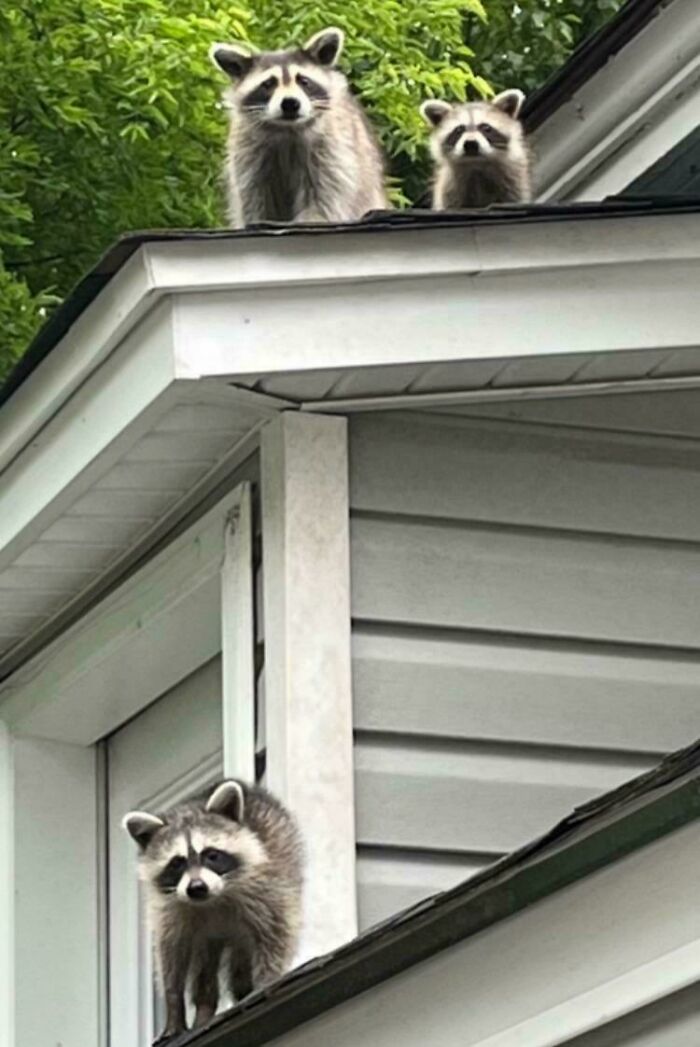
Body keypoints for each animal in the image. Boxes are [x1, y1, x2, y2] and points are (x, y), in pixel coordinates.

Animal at [123, 779, 303, 1043]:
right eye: (177, 863)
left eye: (211, 855)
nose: (196, 887)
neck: (210, 900)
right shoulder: (170, 911)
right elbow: (171, 956)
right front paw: (174, 1010)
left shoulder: (268, 886)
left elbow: (275, 932)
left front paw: (265, 983)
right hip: (208, 940)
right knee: (204, 966)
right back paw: (204, 1009)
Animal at [209, 27, 388, 227]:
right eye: (268, 84)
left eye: (303, 81)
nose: (290, 103)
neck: (287, 129)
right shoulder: (248, 154)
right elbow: (255, 200)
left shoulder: (332, 149)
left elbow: (323, 198)